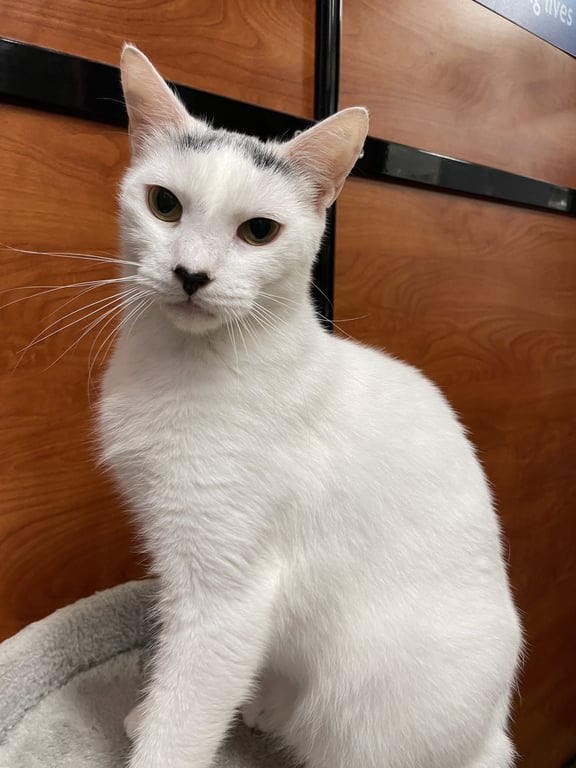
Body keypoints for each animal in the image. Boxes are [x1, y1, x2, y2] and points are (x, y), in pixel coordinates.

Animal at [97, 44, 522, 768]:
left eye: (259, 231)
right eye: (163, 204)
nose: (191, 273)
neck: (182, 365)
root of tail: (491, 734)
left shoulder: (227, 598)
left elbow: (184, 721)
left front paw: (158, 730)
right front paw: (148, 711)